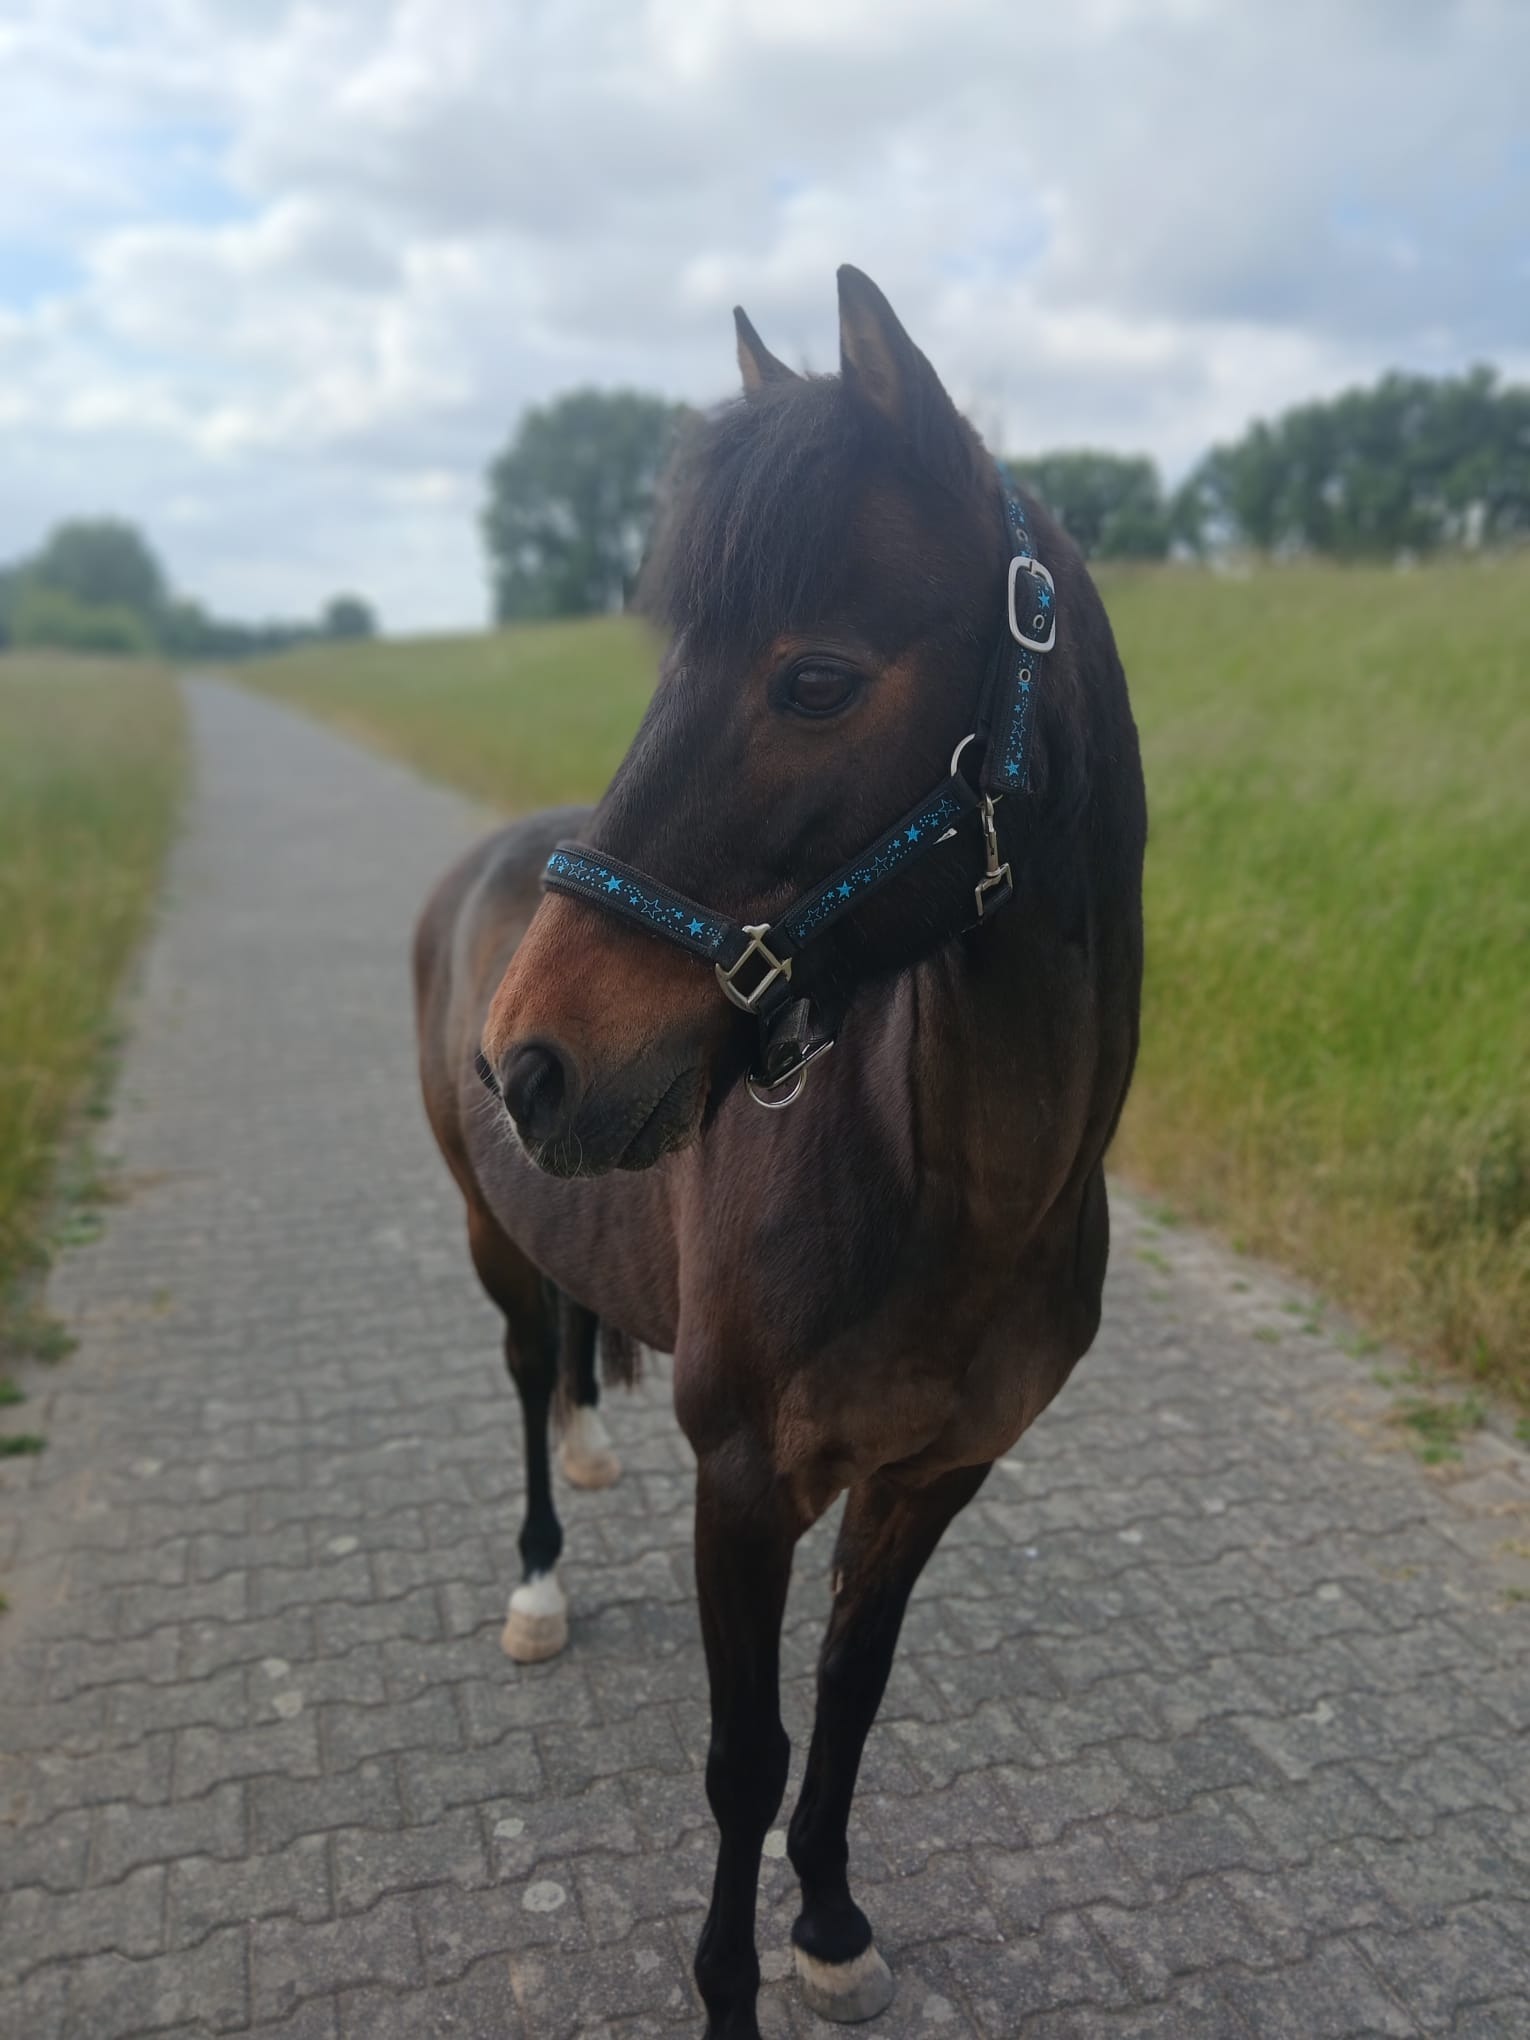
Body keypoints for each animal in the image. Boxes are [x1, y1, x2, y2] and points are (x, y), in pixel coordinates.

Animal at [413, 265, 1146, 2038]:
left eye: (813, 679)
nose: (530, 1059)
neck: (958, 1197)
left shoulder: (934, 1476)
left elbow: (849, 1697)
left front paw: (828, 1920)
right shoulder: (743, 1486)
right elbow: (743, 1759)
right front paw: (734, 1983)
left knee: (573, 1348)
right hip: (486, 1235)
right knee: (521, 1374)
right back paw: (538, 1576)